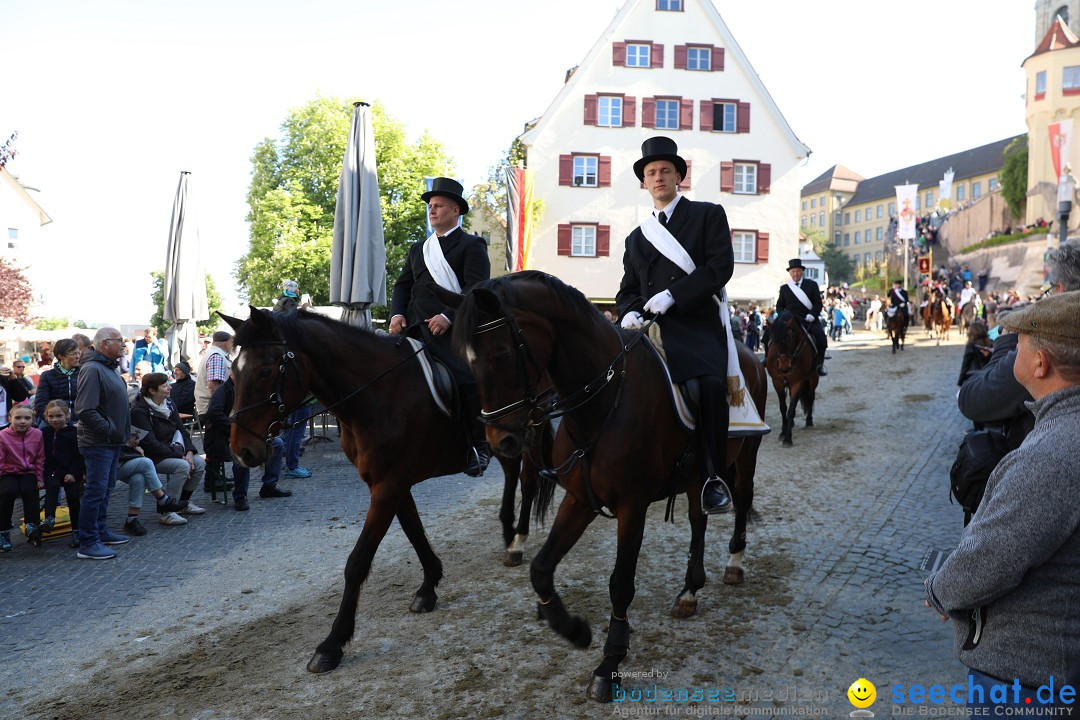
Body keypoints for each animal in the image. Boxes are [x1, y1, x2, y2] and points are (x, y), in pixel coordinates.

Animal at [221, 310, 540, 677]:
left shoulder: (389, 486)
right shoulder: (389, 483)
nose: (241, 451)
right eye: (233, 372)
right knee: (513, 472)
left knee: (529, 478)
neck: (377, 393)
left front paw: (332, 643)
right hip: (506, 441)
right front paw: (429, 587)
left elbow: (357, 561)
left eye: (264, 370)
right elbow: (415, 532)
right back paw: (508, 533)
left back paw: (518, 542)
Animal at [440, 272, 768, 703]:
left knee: (742, 501)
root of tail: (750, 354)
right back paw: (689, 592)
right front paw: (573, 629)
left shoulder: (632, 506)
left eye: (502, 356)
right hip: (697, 475)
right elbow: (541, 569)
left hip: (745, 457)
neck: (604, 400)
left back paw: (734, 564)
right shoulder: (580, 499)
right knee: (698, 519)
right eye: (465, 361)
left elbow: (620, 583)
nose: (501, 443)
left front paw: (609, 663)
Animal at [764, 313, 812, 446]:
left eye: (791, 338)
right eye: (774, 341)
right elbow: (783, 407)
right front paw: (783, 432)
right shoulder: (777, 382)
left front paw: (788, 438)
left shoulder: (798, 382)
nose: (785, 367)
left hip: (813, 378)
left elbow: (791, 409)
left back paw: (809, 421)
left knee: (811, 396)